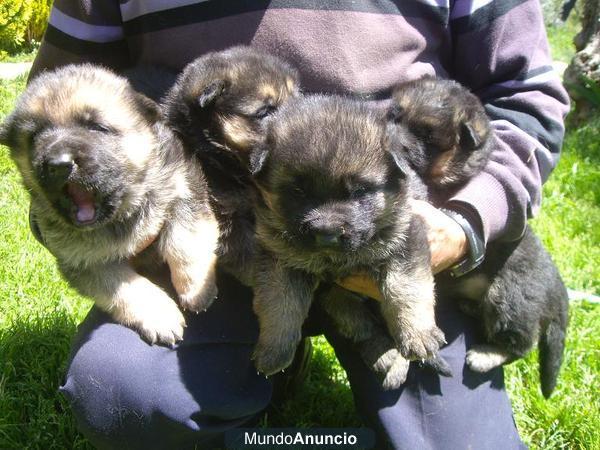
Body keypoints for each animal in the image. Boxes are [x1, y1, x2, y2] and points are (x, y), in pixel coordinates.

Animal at [0, 64, 220, 344]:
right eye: (34, 136)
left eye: (96, 127)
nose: (59, 164)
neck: (123, 215)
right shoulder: (83, 261)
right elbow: (125, 287)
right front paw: (160, 316)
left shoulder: (184, 184)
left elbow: (184, 239)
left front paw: (196, 289)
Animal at [390, 77, 568, 398]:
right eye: (394, 116)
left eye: (427, 135)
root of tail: (558, 290)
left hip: (509, 298)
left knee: (522, 345)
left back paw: (484, 355)